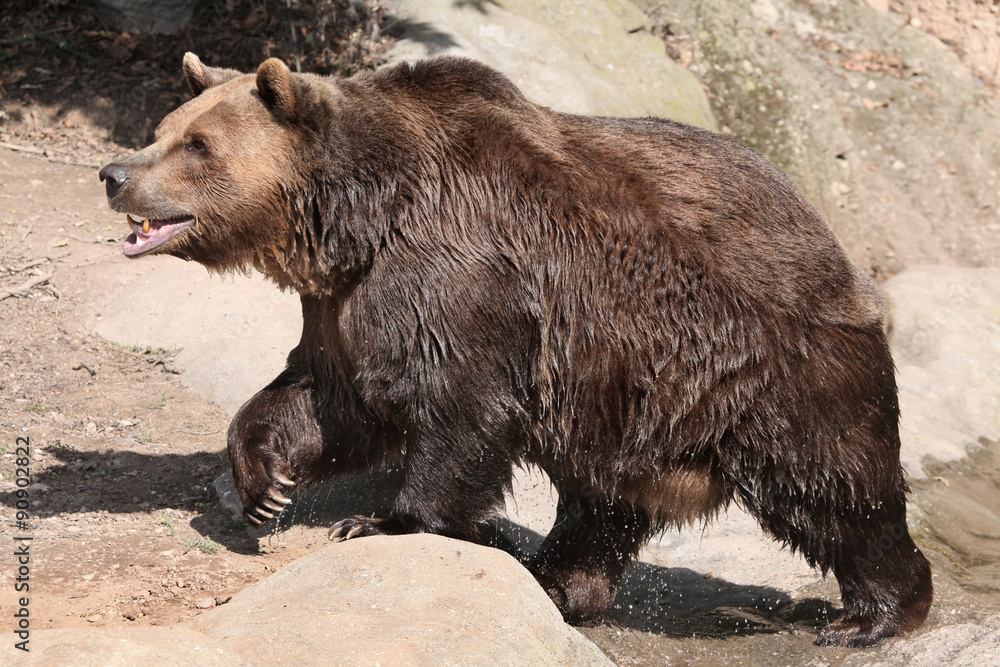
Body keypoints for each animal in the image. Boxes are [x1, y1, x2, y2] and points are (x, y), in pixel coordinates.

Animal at [99, 52, 932, 648]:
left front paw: (381, 521)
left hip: (769, 366)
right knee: (601, 503)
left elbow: (458, 411)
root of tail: (834, 242)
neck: (359, 219)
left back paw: (872, 613)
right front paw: (262, 482)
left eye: (197, 144)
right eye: (167, 125)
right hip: (624, 399)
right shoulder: (349, 301)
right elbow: (331, 398)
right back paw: (555, 578)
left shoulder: (464, 276)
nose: (113, 173)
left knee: (834, 486)